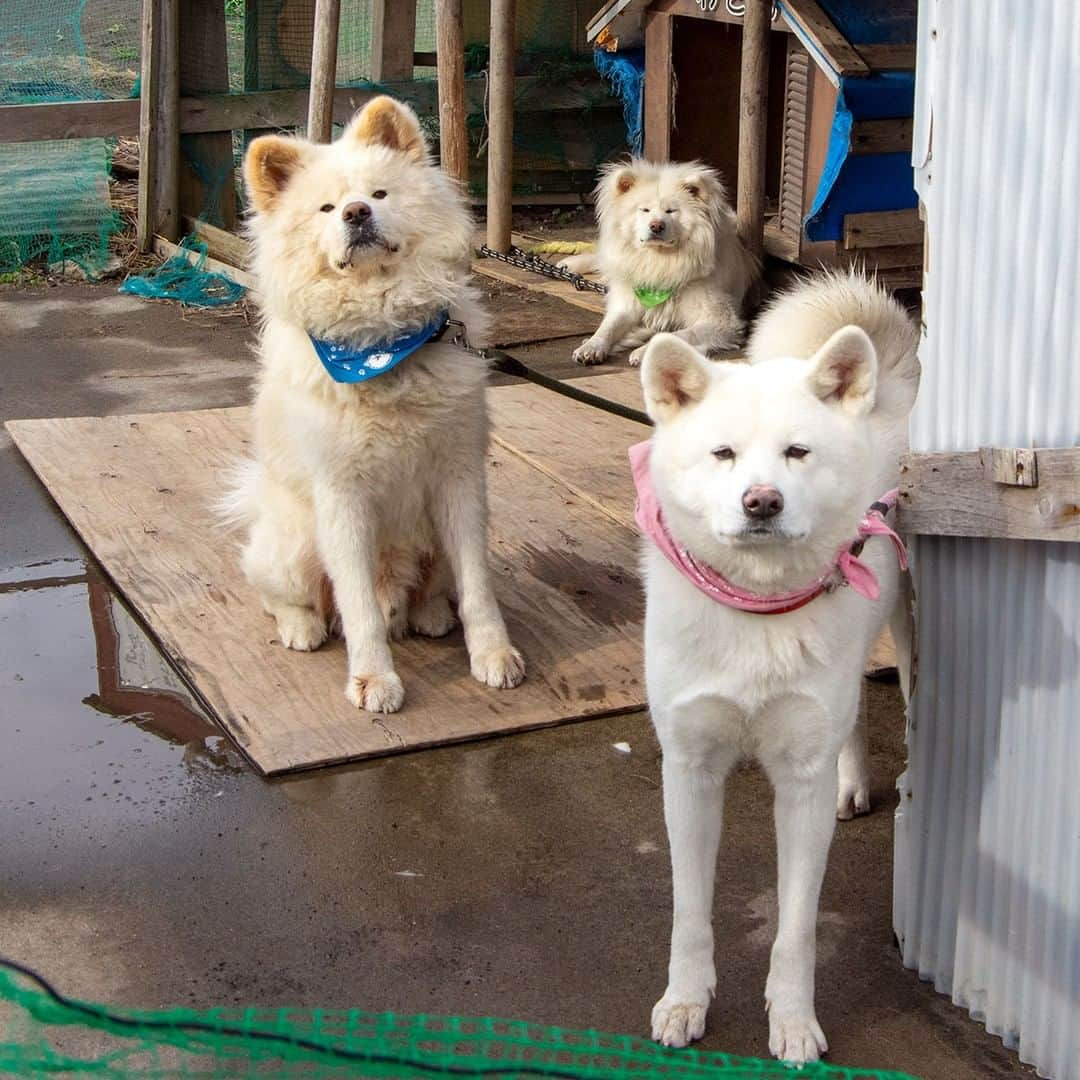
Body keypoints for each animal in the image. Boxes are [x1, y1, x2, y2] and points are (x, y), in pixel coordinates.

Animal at [221, 97, 524, 712]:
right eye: (326, 208)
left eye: (380, 194)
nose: (357, 213)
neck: (382, 341)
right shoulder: (342, 497)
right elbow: (357, 604)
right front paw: (374, 680)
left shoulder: (459, 480)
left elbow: (477, 585)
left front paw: (493, 654)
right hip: (296, 544)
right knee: (287, 597)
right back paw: (303, 628)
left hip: (433, 540)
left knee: (433, 589)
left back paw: (429, 615)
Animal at [570, 157, 756, 367]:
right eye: (644, 210)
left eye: (671, 211)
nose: (656, 226)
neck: (660, 262)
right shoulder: (626, 305)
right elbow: (607, 328)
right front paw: (590, 347)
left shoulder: (721, 321)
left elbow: (680, 335)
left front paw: (645, 351)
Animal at [630, 270, 920, 1062]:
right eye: (723, 454)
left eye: (797, 452)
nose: (762, 502)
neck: (756, 608)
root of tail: (887, 390)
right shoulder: (690, 768)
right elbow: (688, 912)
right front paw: (685, 1001)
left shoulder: (800, 783)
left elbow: (796, 930)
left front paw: (792, 1021)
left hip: (906, 621)